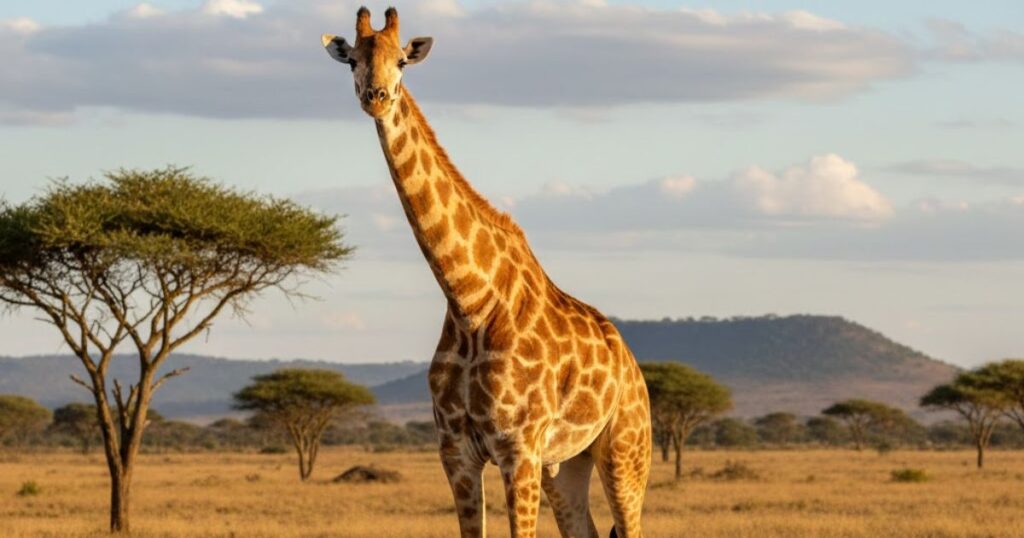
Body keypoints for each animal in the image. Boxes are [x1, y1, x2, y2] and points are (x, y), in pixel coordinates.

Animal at [321, 8, 651, 537]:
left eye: (402, 61)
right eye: (352, 58)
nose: (377, 97)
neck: (470, 301)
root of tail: (632, 364)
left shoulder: (519, 449)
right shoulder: (456, 452)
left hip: (625, 447)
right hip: (565, 464)